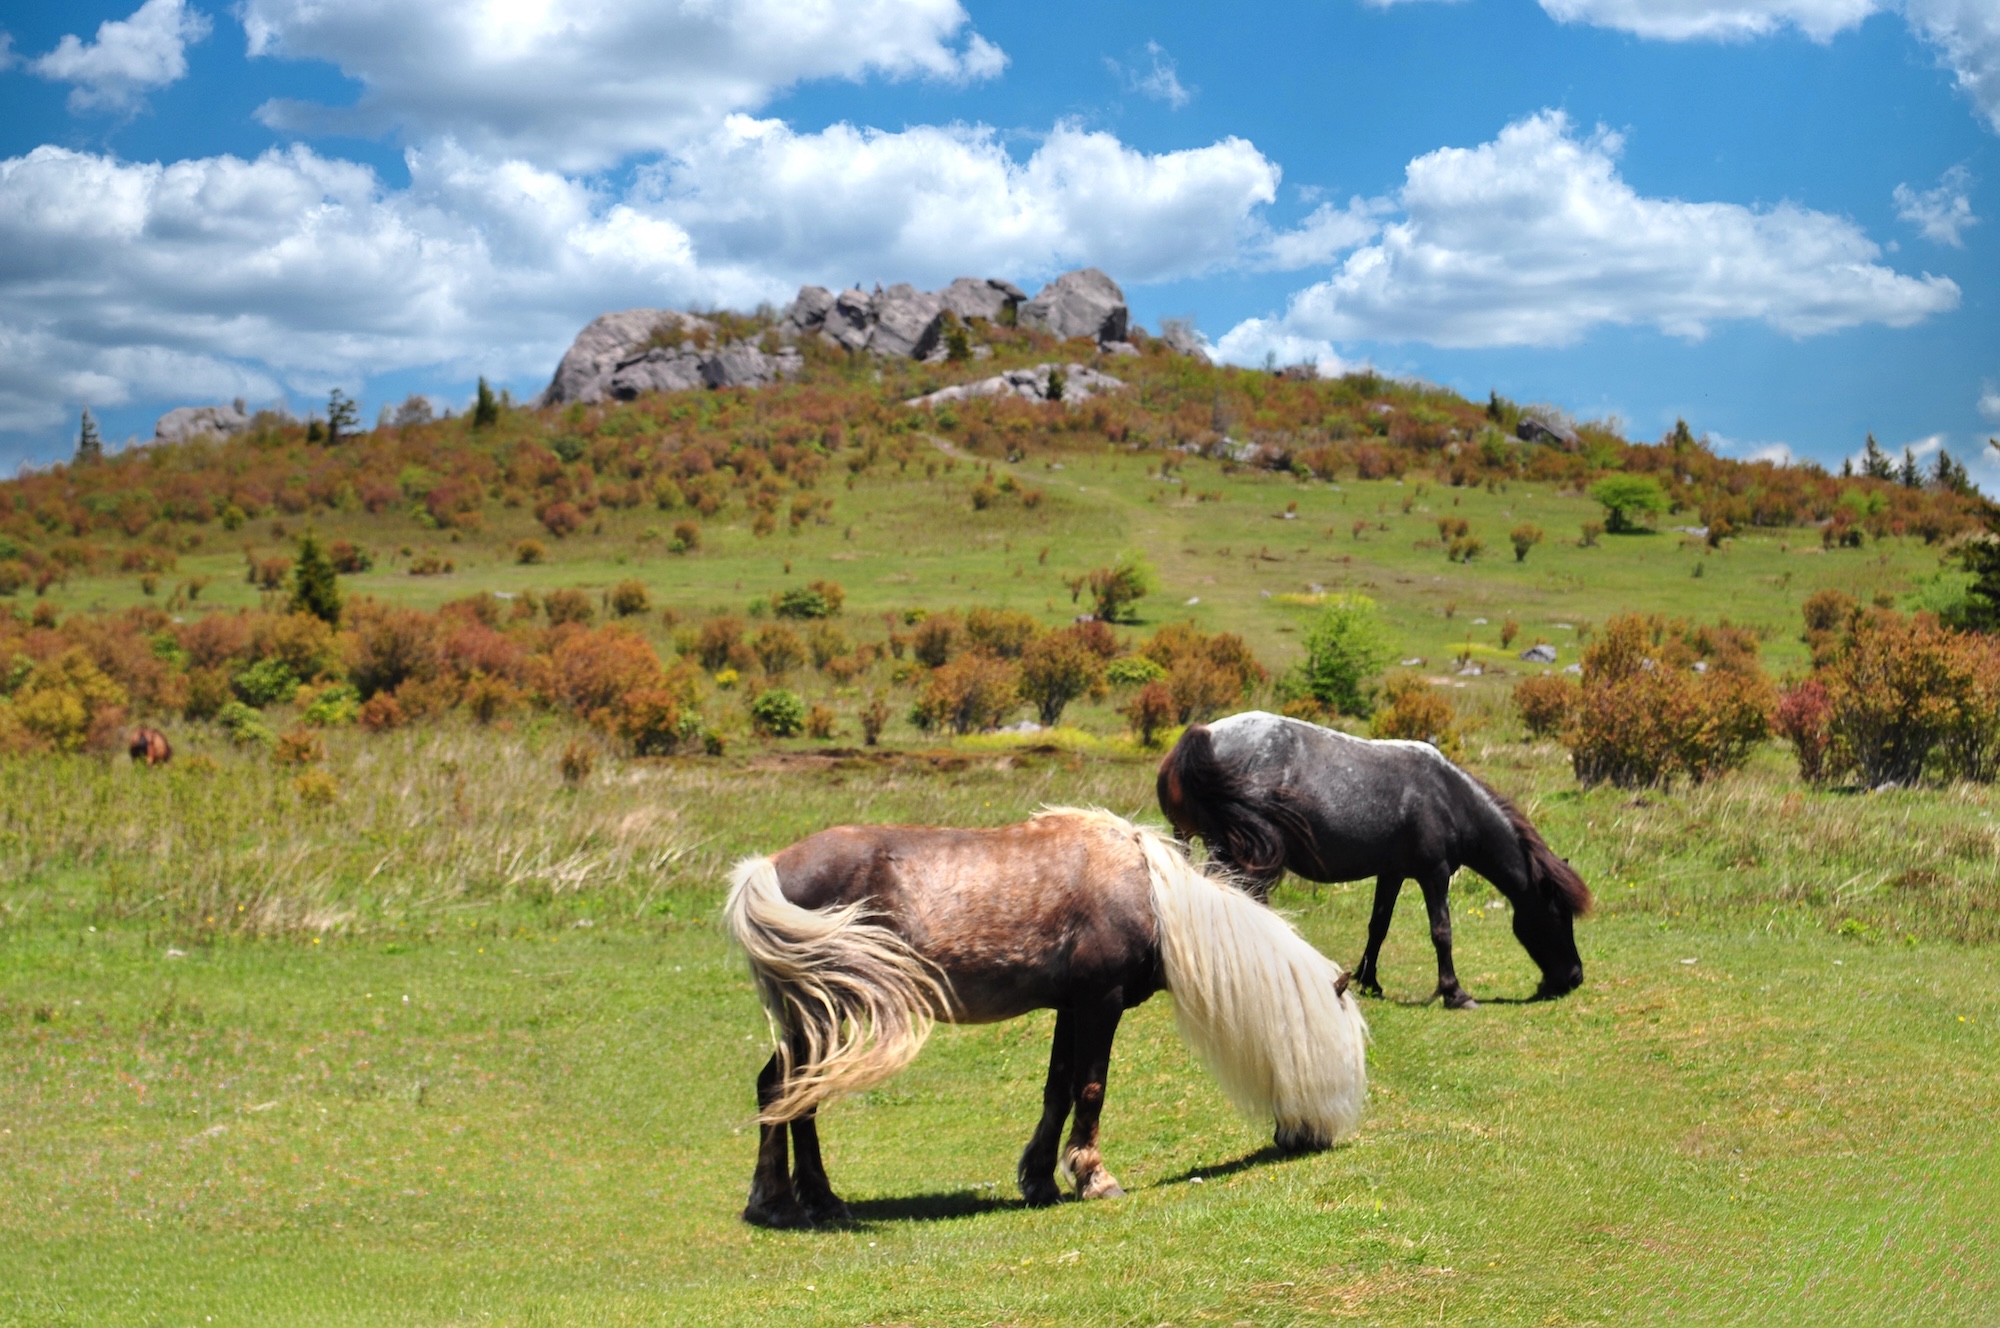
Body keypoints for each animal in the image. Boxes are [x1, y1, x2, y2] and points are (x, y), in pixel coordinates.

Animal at [724, 806, 1368, 1228]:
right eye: (1338, 1057)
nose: (1317, 1139)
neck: (1149, 896)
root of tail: (768, 868)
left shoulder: (1070, 1007)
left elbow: (1057, 1088)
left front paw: (1039, 1179)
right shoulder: (1101, 1003)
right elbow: (1091, 1088)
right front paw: (1094, 1178)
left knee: (784, 1089)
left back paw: (794, 1200)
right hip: (821, 1011)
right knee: (791, 1091)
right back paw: (795, 1202)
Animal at [1157, 711, 1592, 1010]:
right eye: (1558, 916)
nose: (1574, 977)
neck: (1447, 797)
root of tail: (1202, 736)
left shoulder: (1392, 873)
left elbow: (1378, 926)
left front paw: (1370, 981)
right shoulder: (1434, 874)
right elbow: (1442, 931)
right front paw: (1455, 993)